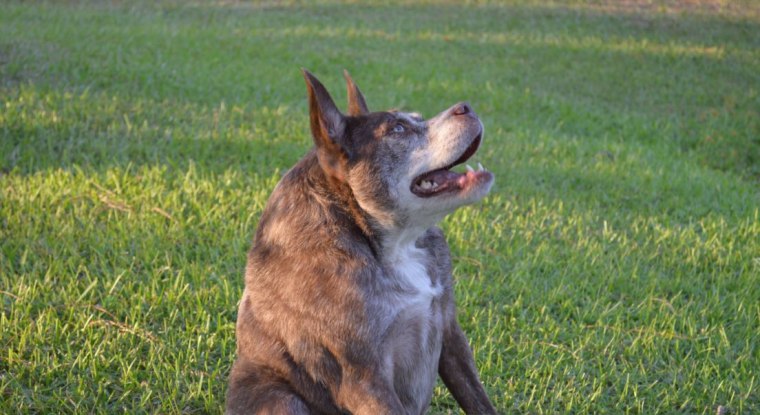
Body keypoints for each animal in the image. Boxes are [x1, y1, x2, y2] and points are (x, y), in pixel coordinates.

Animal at [226, 70, 498, 414]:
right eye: (397, 130)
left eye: (417, 119)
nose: (466, 107)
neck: (395, 244)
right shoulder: (365, 378)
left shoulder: (451, 336)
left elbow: (479, 401)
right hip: (281, 399)